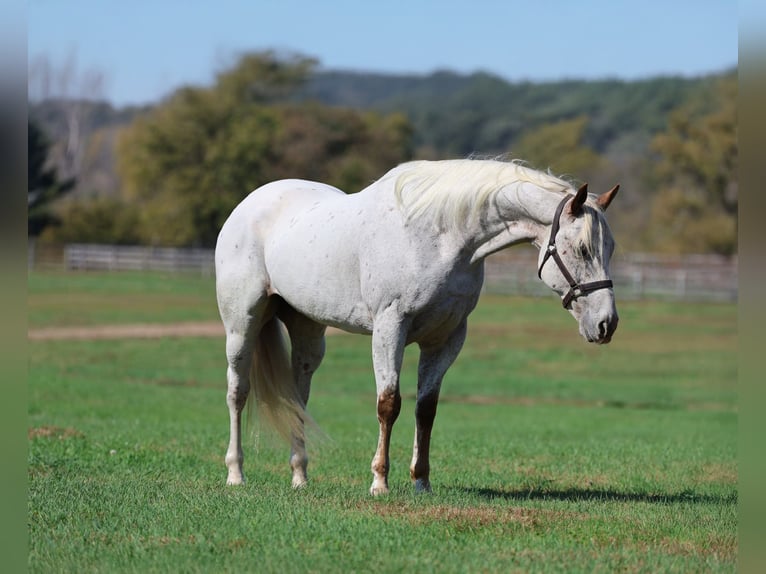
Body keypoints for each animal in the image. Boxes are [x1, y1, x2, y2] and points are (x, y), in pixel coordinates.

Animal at [215, 158, 620, 494]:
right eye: (582, 249)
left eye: (610, 249)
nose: (607, 324)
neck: (441, 237)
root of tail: (247, 205)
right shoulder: (390, 327)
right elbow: (388, 403)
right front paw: (380, 482)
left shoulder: (446, 337)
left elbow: (426, 408)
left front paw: (421, 481)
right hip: (242, 325)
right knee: (237, 393)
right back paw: (235, 474)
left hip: (308, 330)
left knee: (298, 398)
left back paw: (300, 476)